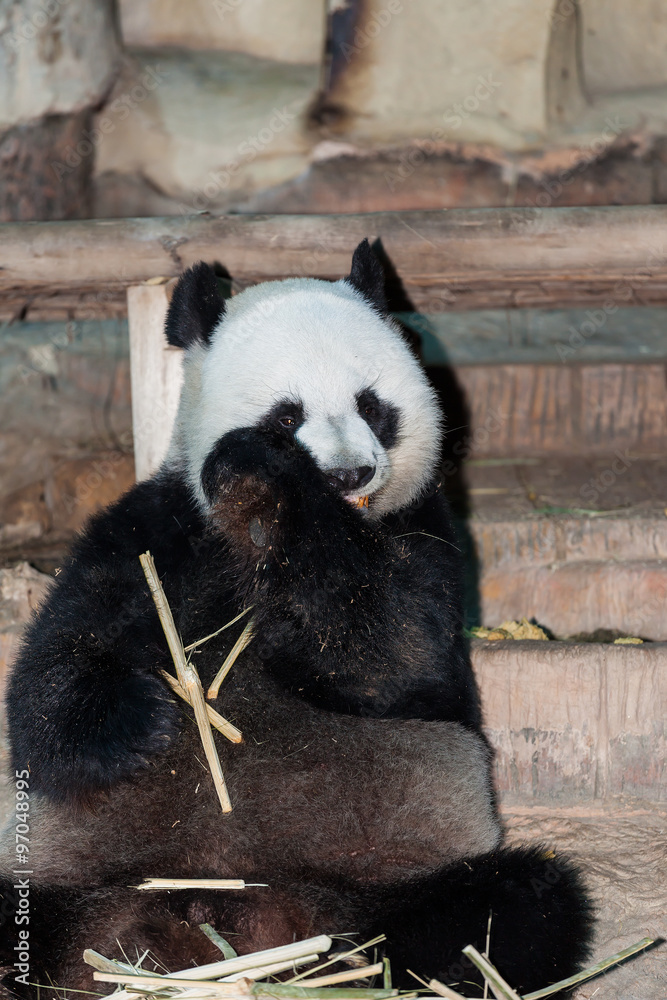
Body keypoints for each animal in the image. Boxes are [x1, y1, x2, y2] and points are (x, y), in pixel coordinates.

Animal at [0, 240, 593, 997]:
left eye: (372, 406)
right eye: (287, 416)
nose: (349, 475)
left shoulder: (424, 533)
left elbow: (393, 661)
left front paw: (281, 502)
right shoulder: (155, 530)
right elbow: (52, 676)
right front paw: (143, 719)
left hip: (385, 884)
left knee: (510, 908)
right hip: (68, 887)